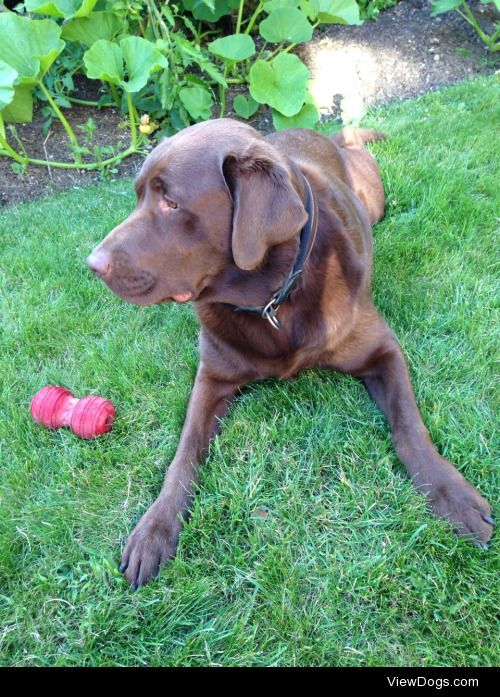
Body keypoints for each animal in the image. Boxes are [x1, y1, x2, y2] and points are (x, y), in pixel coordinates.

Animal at [86, 119, 492, 588]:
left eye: (171, 203)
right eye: (138, 197)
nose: (91, 264)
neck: (272, 299)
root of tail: (325, 135)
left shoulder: (383, 350)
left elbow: (409, 427)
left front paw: (453, 495)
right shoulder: (212, 377)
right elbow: (184, 454)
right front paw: (154, 529)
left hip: (374, 199)